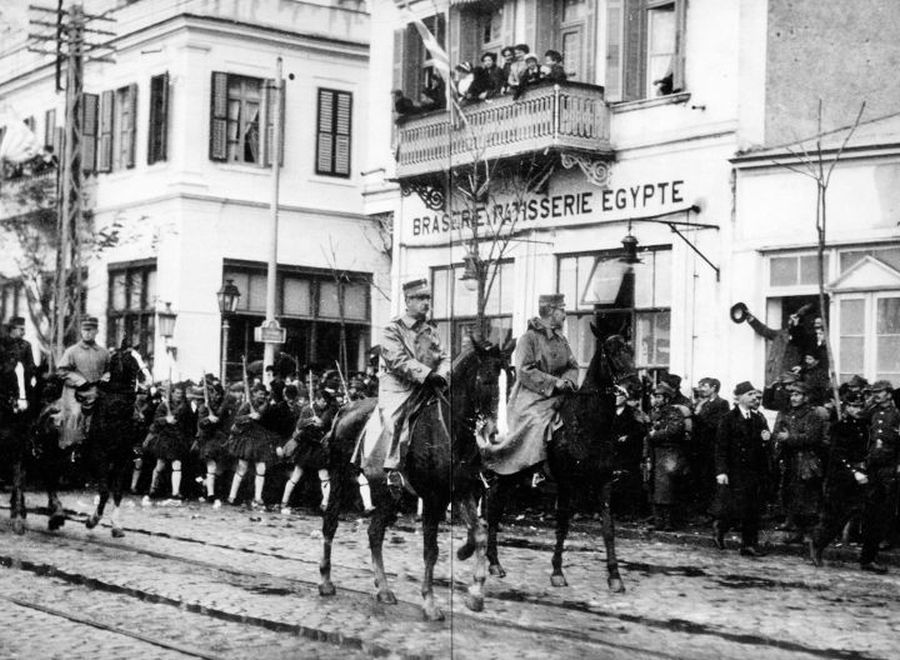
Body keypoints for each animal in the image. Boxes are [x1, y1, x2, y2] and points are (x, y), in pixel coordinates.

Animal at [320, 340, 510, 620]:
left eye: (511, 379)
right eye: (486, 380)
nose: (499, 434)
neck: (450, 430)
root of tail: (346, 408)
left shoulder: (463, 491)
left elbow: (480, 534)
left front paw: (475, 593)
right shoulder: (433, 499)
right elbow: (431, 551)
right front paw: (430, 603)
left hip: (387, 493)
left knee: (375, 532)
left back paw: (384, 589)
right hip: (340, 477)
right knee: (331, 522)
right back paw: (326, 581)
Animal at [486, 330, 632, 592]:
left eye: (630, 349)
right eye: (611, 351)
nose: (633, 384)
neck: (586, 425)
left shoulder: (604, 481)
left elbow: (608, 528)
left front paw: (615, 576)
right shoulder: (566, 483)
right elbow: (562, 525)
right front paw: (557, 572)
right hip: (508, 472)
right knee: (493, 506)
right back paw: (493, 563)